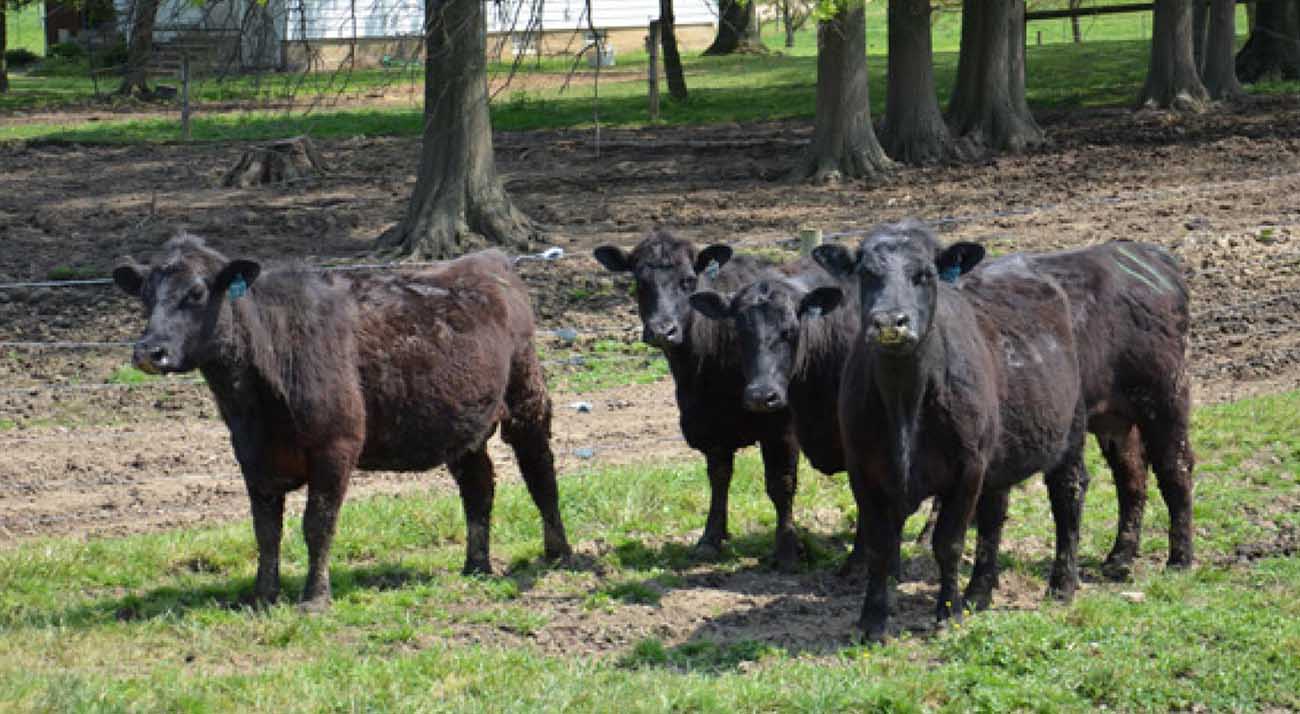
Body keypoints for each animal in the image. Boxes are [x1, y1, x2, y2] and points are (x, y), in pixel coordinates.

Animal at [114, 232, 572, 606]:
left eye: (196, 292)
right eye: (145, 296)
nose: (149, 351)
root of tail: (489, 259)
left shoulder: (336, 445)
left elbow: (317, 524)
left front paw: (315, 597)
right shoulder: (252, 454)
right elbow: (266, 530)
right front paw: (262, 596)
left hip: (526, 396)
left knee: (540, 471)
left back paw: (559, 553)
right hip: (462, 423)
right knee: (478, 485)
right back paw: (476, 565)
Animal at [595, 231, 800, 569]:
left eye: (688, 280)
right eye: (639, 281)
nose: (662, 330)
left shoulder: (780, 426)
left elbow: (780, 484)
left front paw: (786, 549)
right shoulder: (707, 424)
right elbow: (719, 478)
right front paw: (711, 538)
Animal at [821, 219, 1086, 637]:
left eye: (924, 274)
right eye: (866, 274)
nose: (890, 322)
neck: (905, 400)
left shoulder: (967, 469)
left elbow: (948, 543)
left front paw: (948, 613)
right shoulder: (863, 470)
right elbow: (880, 546)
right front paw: (873, 619)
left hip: (1070, 433)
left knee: (1068, 497)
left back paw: (1061, 586)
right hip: (1000, 452)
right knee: (994, 514)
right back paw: (979, 592)